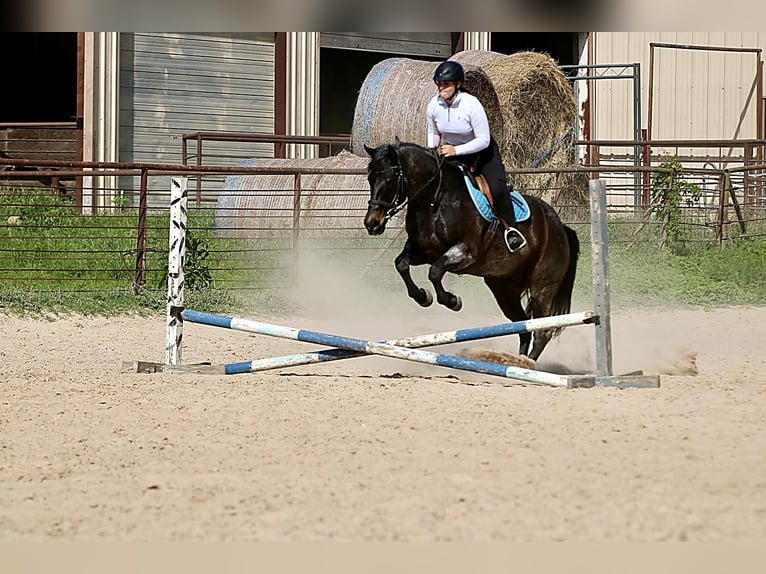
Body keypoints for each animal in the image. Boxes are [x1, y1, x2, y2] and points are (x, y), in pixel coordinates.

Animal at [363, 139, 580, 361]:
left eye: (389, 179)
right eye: (370, 178)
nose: (372, 224)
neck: (435, 201)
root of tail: (561, 227)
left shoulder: (465, 251)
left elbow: (435, 272)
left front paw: (452, 301)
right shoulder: (422, 251)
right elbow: (401, 264)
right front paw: (423, 297)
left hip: (542, 287)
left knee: (542, 331)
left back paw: (527, 363)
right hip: (504, 289)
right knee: (523, 327)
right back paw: (517, 361)